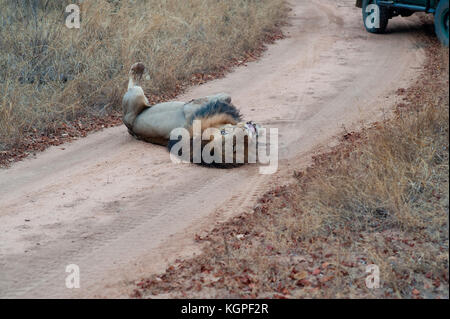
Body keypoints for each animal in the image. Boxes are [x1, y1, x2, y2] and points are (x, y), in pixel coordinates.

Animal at [122, 62, 260, 168]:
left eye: (236, 147)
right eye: (224, 133)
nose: (246, 132)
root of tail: (130, 127)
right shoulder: (191, 108)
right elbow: (225, 97)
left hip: (138, 98)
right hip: (136, 95)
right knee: (132, 84)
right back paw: (139, 68)